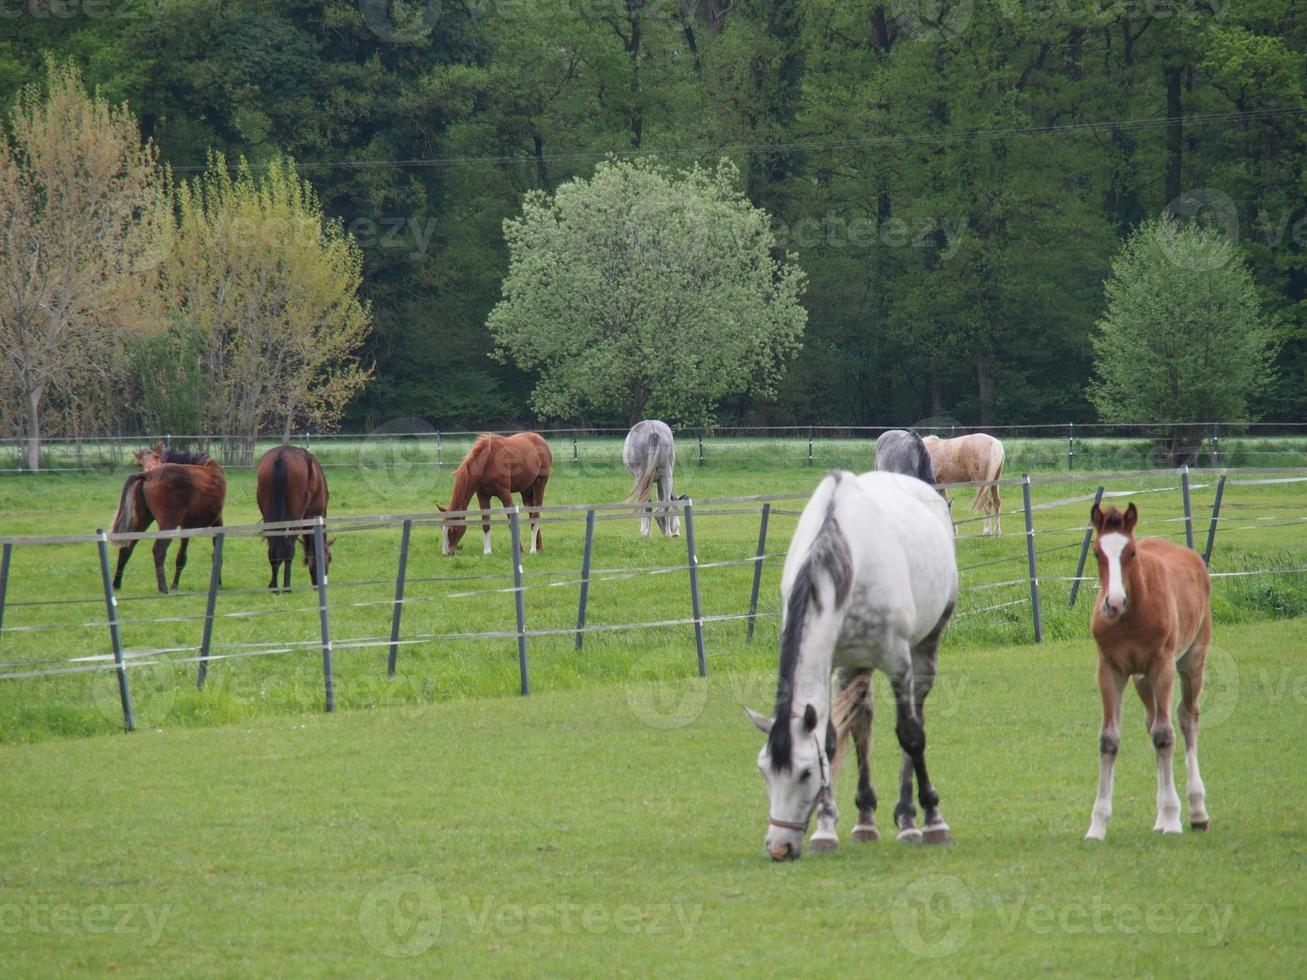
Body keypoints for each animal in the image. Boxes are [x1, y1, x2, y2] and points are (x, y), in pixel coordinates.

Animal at [111, 449, 227, 595]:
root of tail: (148, 475)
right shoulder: (218, 522)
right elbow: (217, 555)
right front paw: (219, 584)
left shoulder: (186, 527)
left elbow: (181, 558)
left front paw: (175, 585)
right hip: (168, 524)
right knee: (158, 550)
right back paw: (163, 588)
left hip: (142, 521)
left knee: (126, 549)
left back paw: (116, 585)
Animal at [252, 444, 329, 590]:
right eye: (329, 559)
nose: (321, 583)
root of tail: (281, 457)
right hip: (296, 516)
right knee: (288, 548)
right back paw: (287, 586)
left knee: (273, 548)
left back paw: (274, 586)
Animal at [747, 473, 961, 862]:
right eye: (763, 771)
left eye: (805, 773)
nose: (779, 848)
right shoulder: (832, 662)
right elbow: (831, 741)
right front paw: (825, 830)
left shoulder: (897, 661)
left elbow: (911, 735)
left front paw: (933, 821)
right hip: (854, 665)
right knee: (862, 724)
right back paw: (865, 821)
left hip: (924, 648)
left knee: (915, 720)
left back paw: (910, 819)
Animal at [1082, 506, 1212, 846]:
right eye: (1097, 552)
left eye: (1131, 552)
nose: (1114, 603)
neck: (1130, 618)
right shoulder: (1109, 670)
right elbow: (1109, 739)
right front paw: (1097, 825)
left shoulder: (1162, 665)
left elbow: (1165, 735)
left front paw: (1173, 819)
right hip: (1142, 681)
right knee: (1152, 721)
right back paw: (1161, 816)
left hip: (1192, 662)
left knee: (1186, 717)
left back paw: (1196, 811)